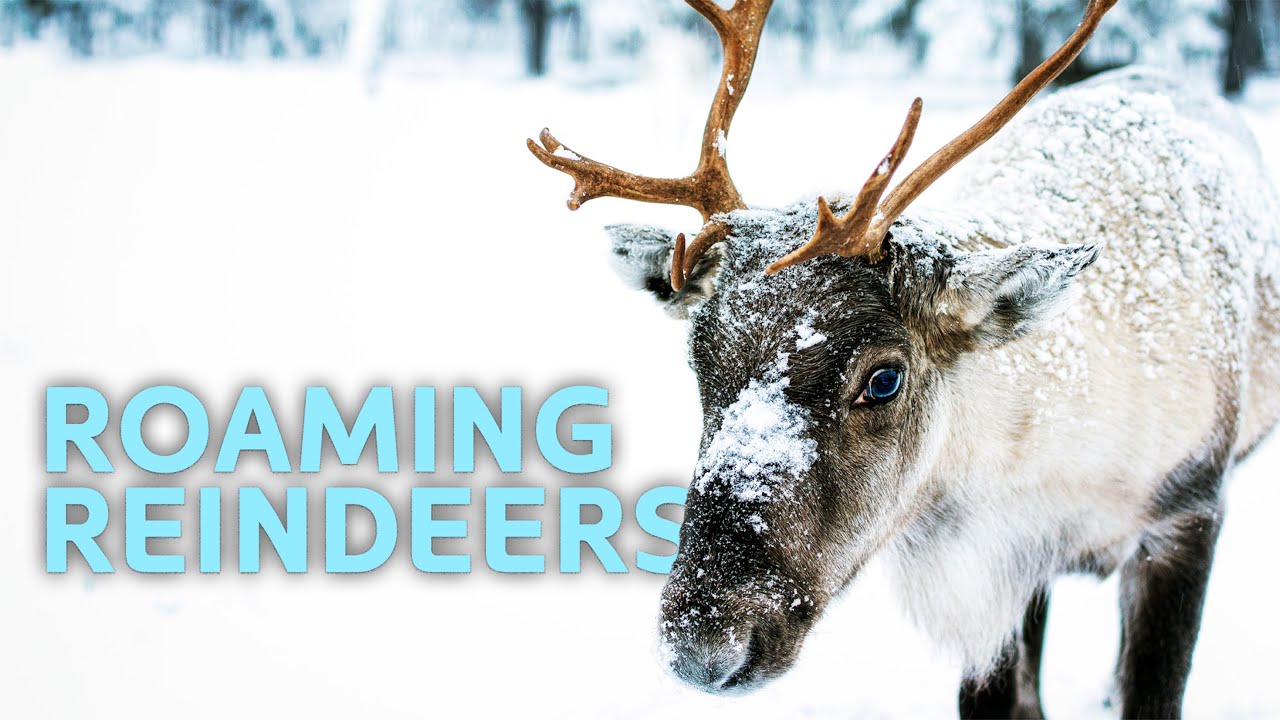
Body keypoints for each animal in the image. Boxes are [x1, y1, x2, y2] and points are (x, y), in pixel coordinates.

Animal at [527, 1, 1280, 717]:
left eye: (884, 378)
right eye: (698, 361)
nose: (701, 648)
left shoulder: (1188, 514)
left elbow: (1154, 691)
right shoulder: (1003, 577)